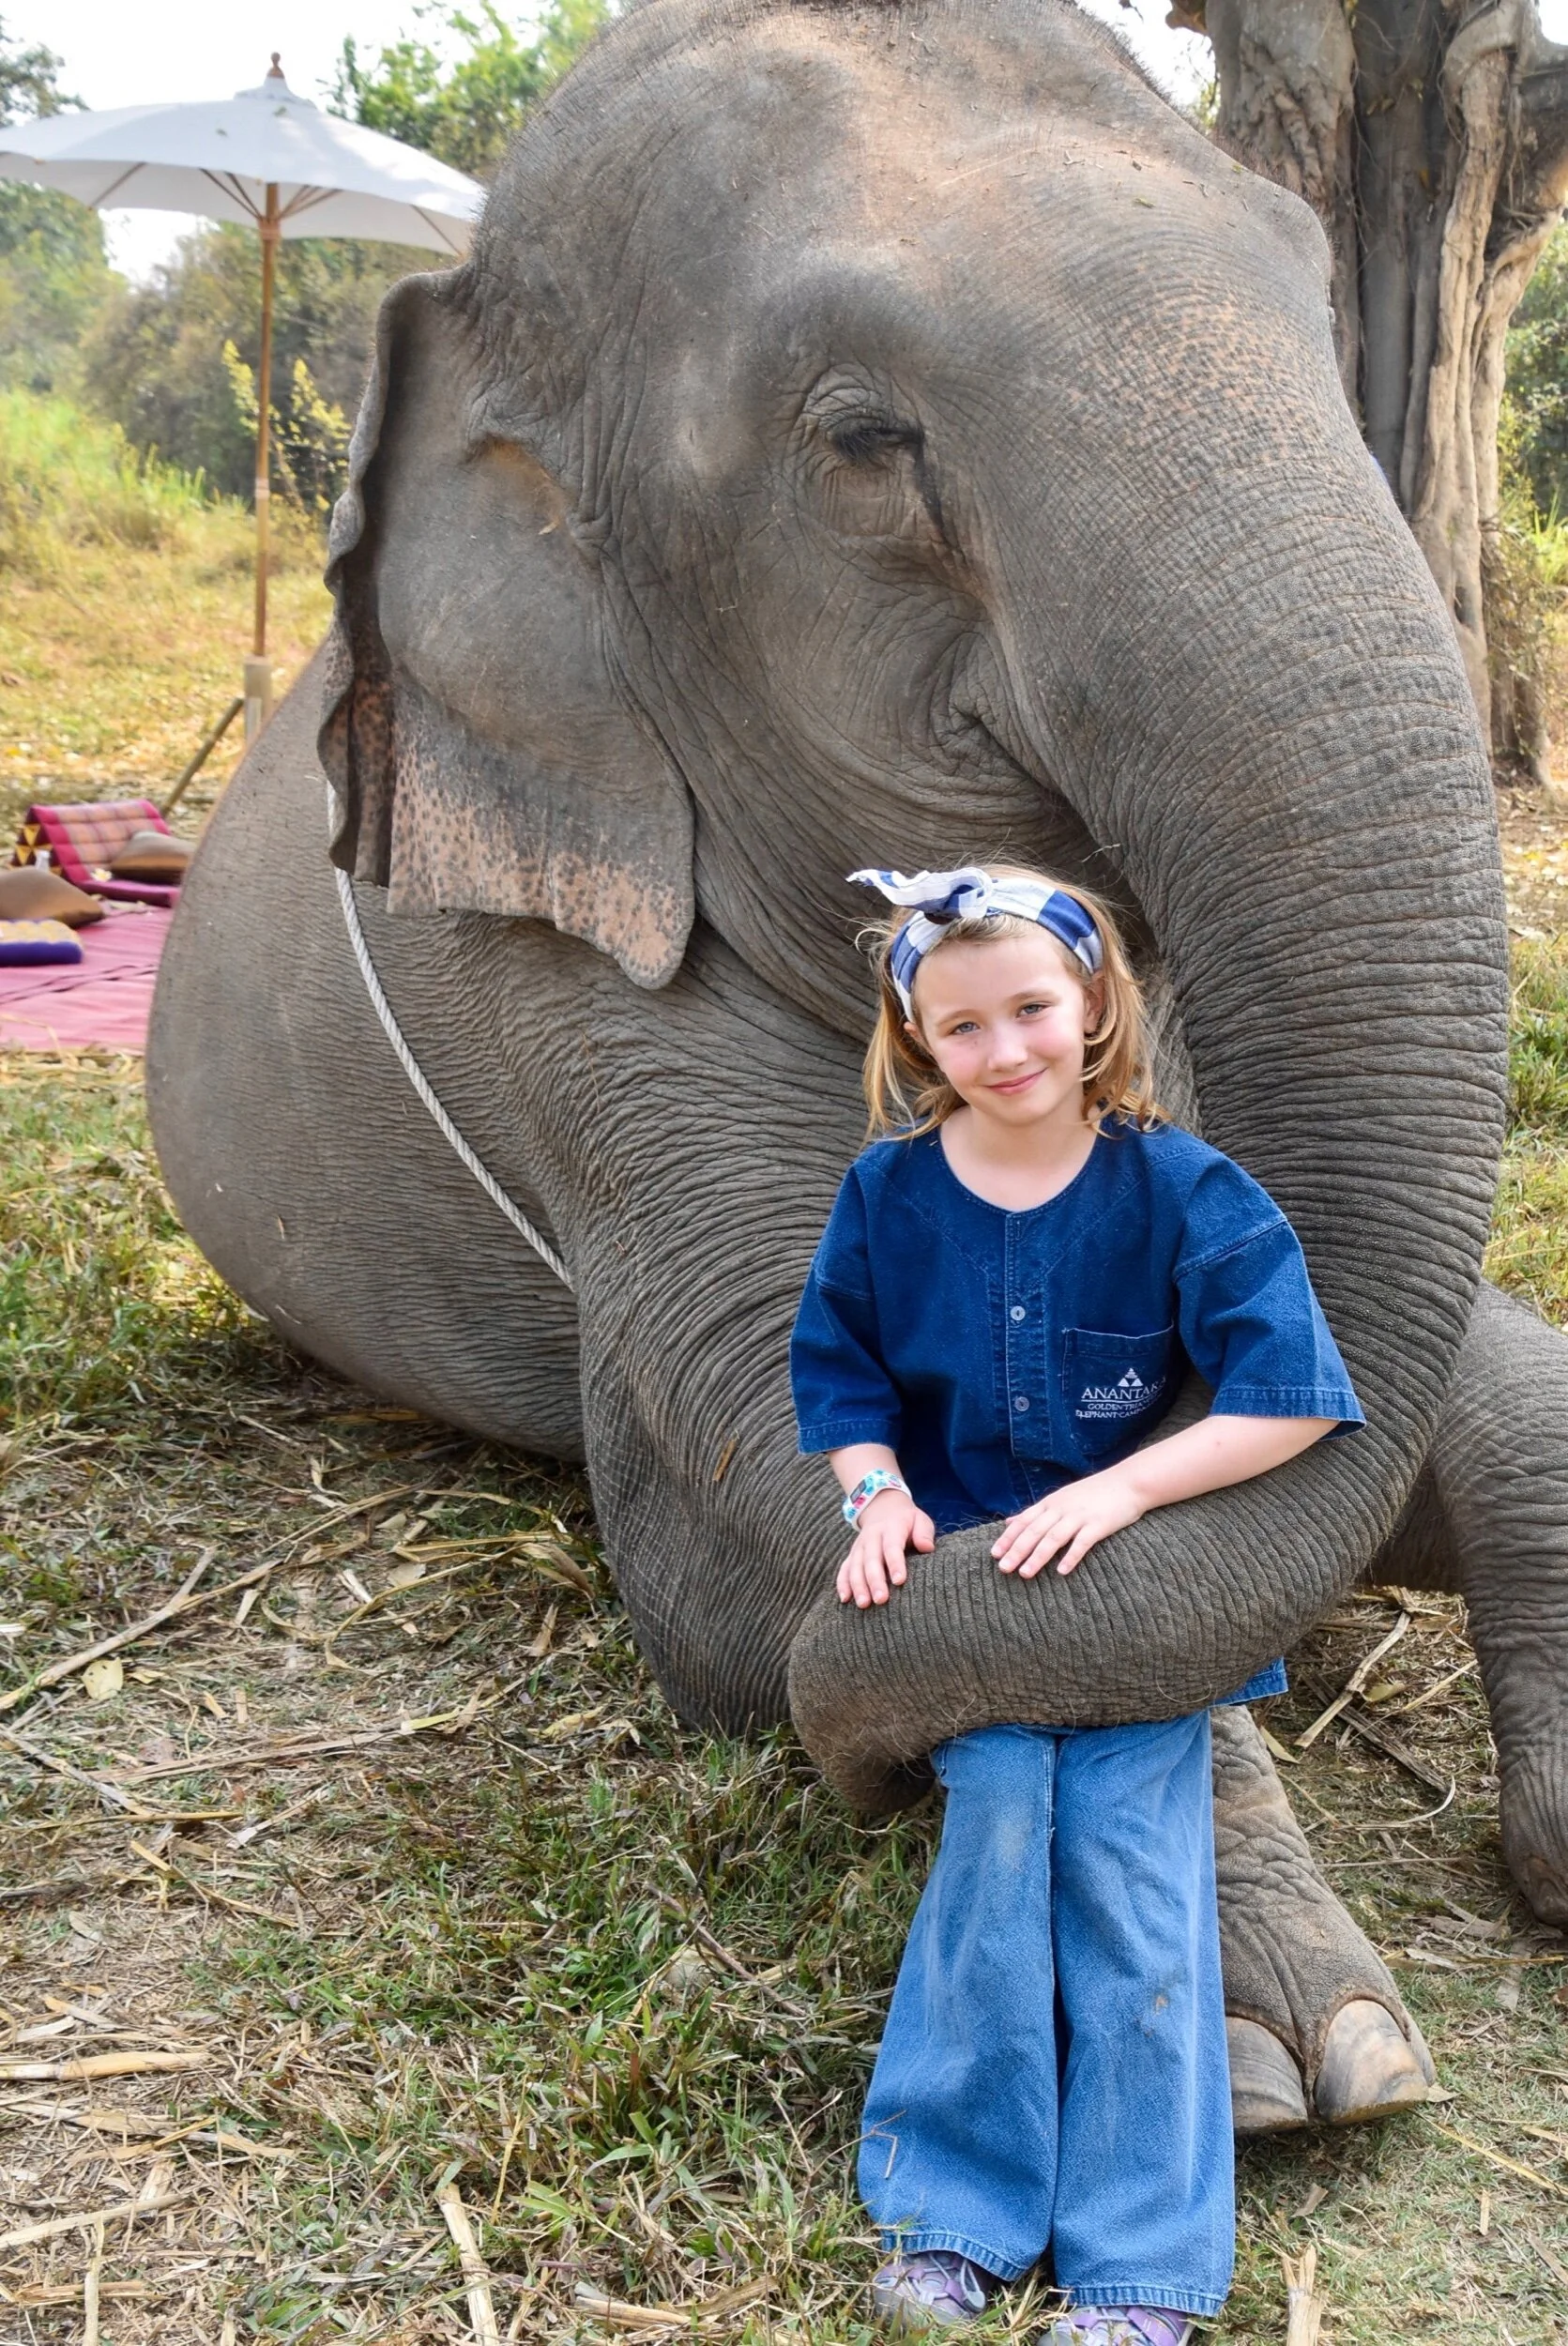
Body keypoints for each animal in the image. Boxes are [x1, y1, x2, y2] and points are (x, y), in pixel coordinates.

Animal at [148, 0, 1568, 2138]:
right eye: (861, 443)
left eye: (1322, 327)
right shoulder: (563, 1002)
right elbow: (767, 1520)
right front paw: (1288, 2056)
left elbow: (1396, 1379)